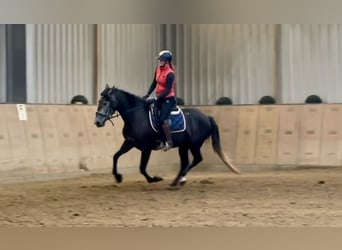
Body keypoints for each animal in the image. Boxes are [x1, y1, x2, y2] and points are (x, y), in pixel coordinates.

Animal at [93, 85, 238, 187]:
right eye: (99, 102)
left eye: (105, 103)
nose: (97, 122)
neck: (135, 116)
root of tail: (207, 117)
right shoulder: (129, 143)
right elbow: (116, 156)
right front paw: (118, 177)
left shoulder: (146, 147)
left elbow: (142, 168)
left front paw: (154, 179)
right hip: (184, 146)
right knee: (186, 162)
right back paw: (178, 180)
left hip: (194, 144)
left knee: (197, 159)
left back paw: (177, 180)